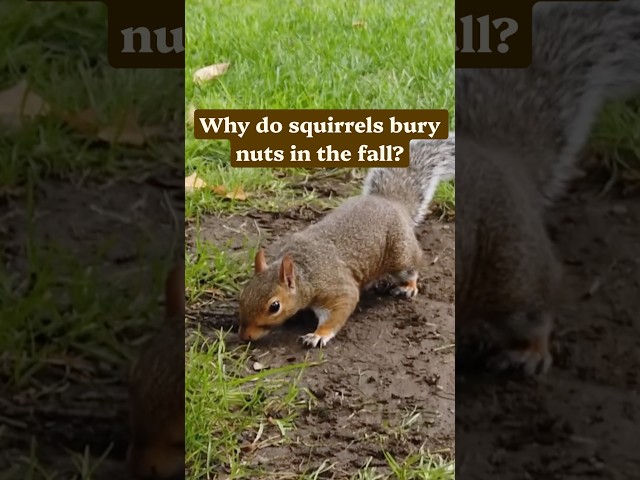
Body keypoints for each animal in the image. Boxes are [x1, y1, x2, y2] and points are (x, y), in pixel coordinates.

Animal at [237, 137, 455, 347]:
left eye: (274, 307)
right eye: (243, 293)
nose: (245, 336)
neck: (305, 273)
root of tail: (391, 202)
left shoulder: (337, 288)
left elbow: (341, 308)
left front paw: (318, 335)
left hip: (401, 252)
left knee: (411, 269)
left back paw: (408, 286)